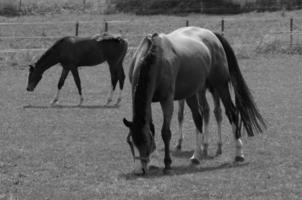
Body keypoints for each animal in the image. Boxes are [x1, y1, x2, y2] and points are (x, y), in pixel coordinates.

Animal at [121, 26, 266, 175]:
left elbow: (165, 132)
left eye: (145, 141)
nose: (140, 170)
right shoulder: (149, 102)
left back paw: (238, 152)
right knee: (198, 119)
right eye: (131, 142)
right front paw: (154, 161)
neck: (153, 57)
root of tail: (212, 35)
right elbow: (151, 127)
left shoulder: (167, 100)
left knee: (231, 112)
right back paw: (196, 155)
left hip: (220, 85)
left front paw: (167, 163)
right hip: (192, 93)